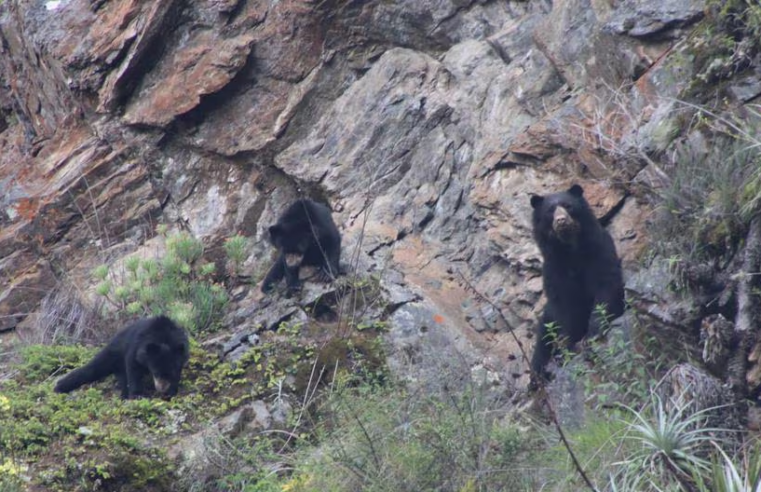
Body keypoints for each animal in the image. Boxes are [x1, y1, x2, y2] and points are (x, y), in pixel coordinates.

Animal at [54, 316, 189, 400]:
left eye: (170, 373)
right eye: (155, 372)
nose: (161, 389)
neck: (163, 336)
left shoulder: (181, 355)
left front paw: (171, 392)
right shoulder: (136, 347)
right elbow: (133, 367)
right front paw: (137, 394)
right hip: (114, 353)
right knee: (94, 368)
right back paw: (59, 386)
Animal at [528, 183, 624, 386]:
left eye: (568, 205)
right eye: (550, 210)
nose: (561, 220)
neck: (571, 250)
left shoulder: (599, 251)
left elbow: (605, 286)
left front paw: (592, 334)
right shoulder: (554, 269)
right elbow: (565, 307)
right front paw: (567, 347)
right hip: (546, 322)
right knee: (542, 343)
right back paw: (537, 378)